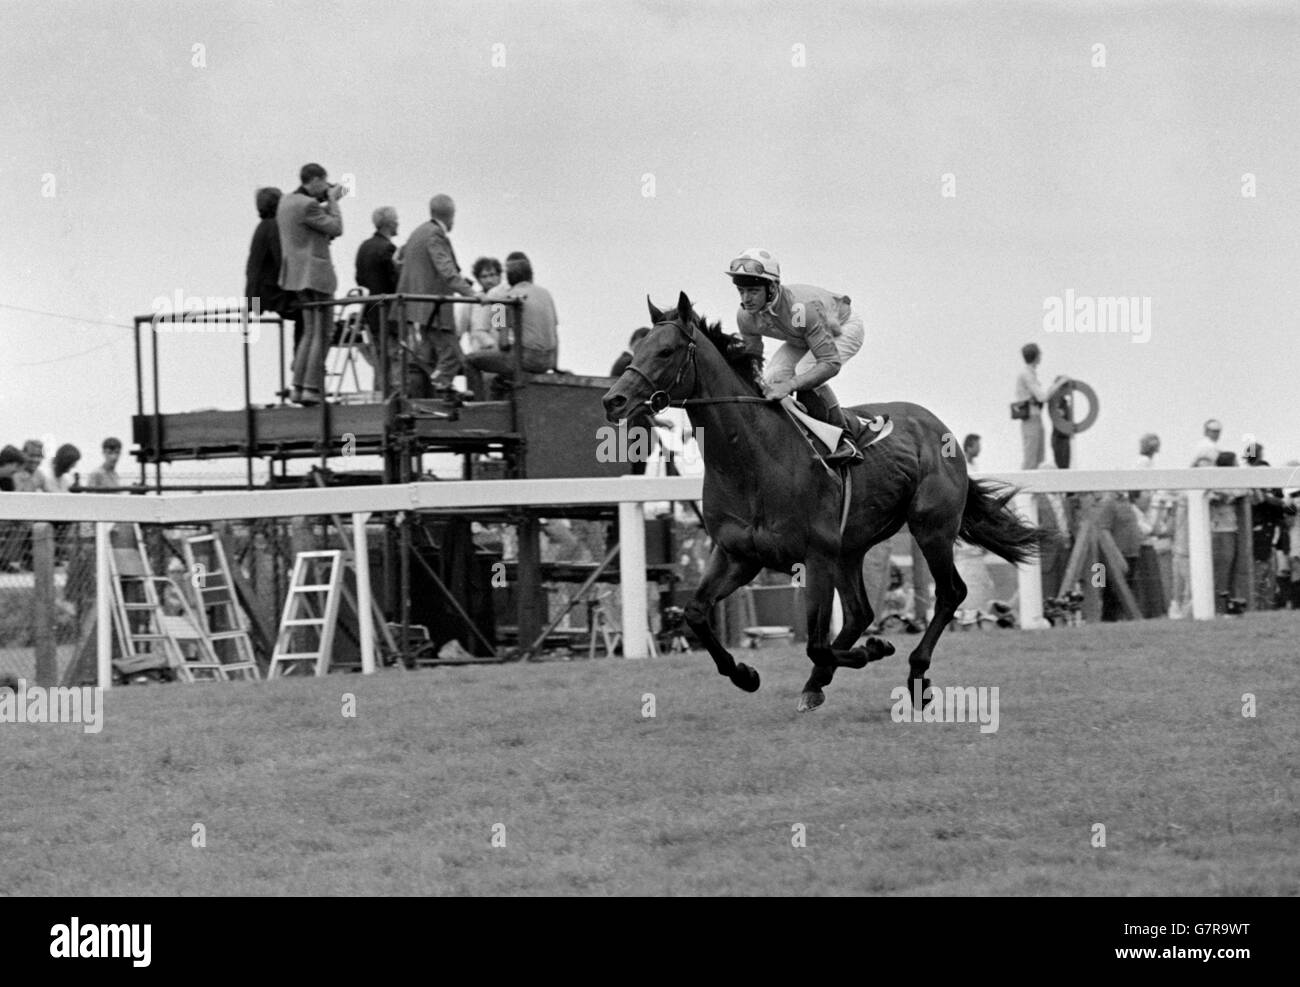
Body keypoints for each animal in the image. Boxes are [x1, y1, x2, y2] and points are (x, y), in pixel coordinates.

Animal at [600, 291, 1045, 712]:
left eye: (666, 351)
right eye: (637, 350)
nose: (613, 401)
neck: (752, 462)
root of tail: (938, 426)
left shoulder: (813, 557)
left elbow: (815, 643)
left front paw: (872, 650)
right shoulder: (737, 555)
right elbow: (695, 612)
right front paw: (745, 673)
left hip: (930, 527)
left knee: (950, 592)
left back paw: (914, 675)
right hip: (849, 549)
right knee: (861, 612)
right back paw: (818, 683)